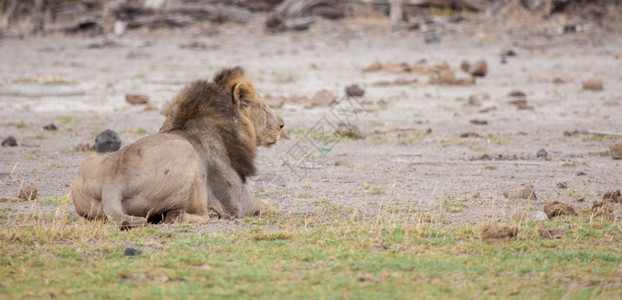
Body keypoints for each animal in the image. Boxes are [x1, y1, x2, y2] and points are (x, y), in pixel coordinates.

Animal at [72, 67, 286, 229]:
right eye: (263, 106)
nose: (282, 125)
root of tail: (112, 182)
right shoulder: (235, 202)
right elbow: (269, 204)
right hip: (186, 153)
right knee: (174, 218)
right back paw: (202, 215)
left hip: (89, 162)